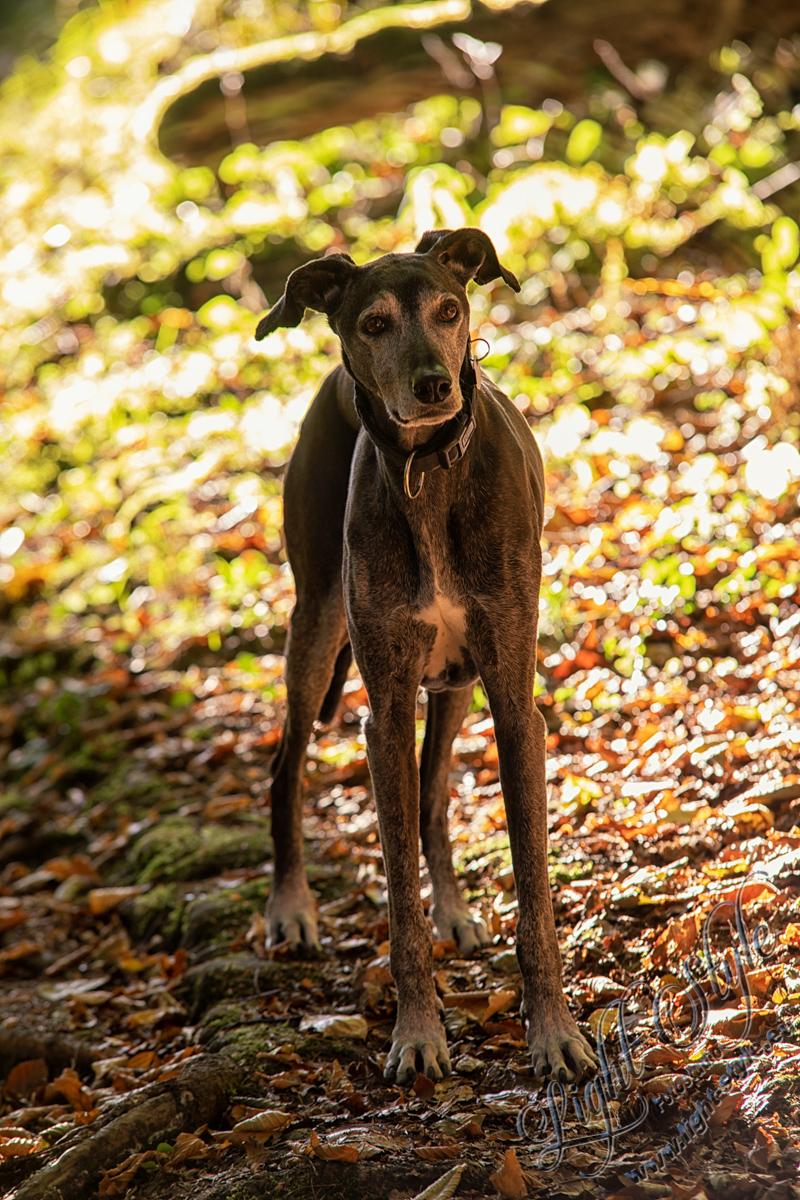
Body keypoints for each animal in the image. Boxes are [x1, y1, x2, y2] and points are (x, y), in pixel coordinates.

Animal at [255, 228, 597, 1087]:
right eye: (373, 323)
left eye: (449, 310)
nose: (435, 384)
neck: (428, 470)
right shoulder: (385, 708)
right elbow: (397, 900)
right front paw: (416, 1032)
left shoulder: (512, 700)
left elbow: (533, 889)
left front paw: (554, 1031)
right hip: (318, 629)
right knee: (286, 766)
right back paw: (291, 907)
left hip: (455, 682)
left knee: (436, 789)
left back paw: (454, 908)